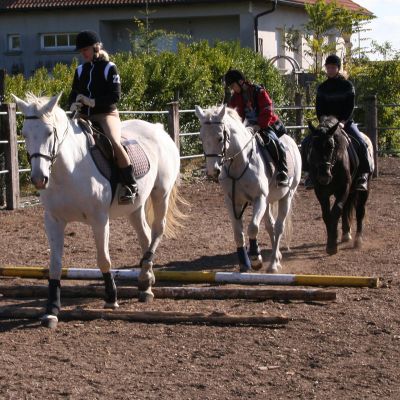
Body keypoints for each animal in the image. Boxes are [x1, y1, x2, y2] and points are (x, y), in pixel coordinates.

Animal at [12, 93, 181, 328]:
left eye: (49, 132)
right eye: (24, 134)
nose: (39, 179)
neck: (68, 170)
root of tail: (158, 129)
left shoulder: (99, 219)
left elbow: (103, 258)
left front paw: (111, 297)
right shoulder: (53, 220)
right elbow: (55, 264)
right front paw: (51, 310)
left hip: (161, 194)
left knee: (158, 230)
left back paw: (146, 271)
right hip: (135, 207)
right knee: (145, 236)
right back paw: (145, 283)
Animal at [195, 106, 302, 274]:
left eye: (220, 138)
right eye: (202, 138)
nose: (212, 171)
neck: (240, 163)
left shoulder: (259, 198)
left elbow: (253, 228)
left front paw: (255, 258)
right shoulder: (232, 201)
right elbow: (238, 234)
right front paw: (244, 262)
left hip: (287, 196)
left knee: (279, 227)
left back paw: (273, 264)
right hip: (269, 201)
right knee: (271, 226)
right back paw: (276, 257)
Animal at [308, 115, 374, 255]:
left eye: (331, 146)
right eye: (314, 147)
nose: (324, 176)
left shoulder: (343, 188)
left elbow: (336, 211)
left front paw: (332, 245)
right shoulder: (321, 192)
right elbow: (327, 215)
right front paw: (331, 241)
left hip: (363, 190)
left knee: (360, 210)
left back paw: (358, 240)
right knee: (346, 208)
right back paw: (345, 234)